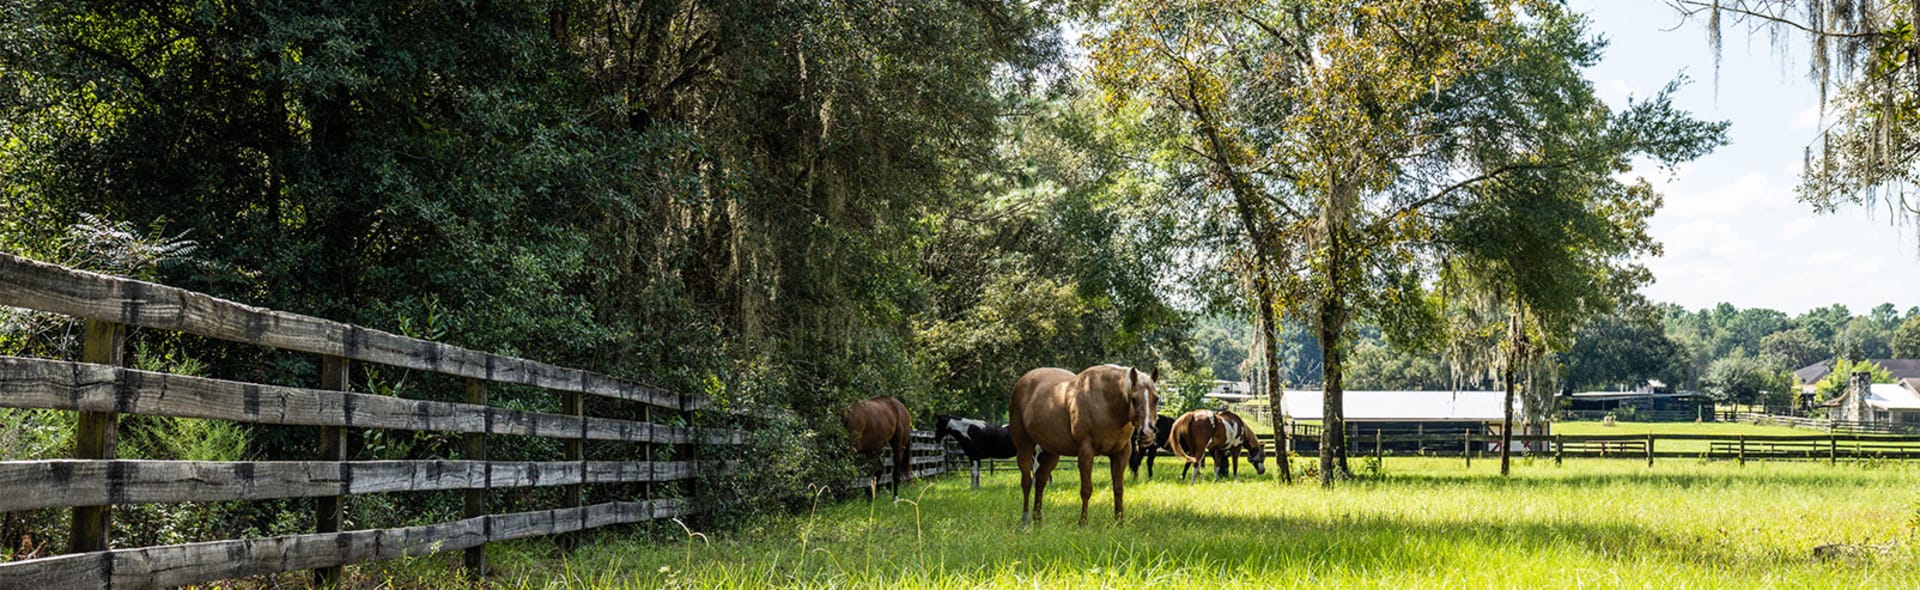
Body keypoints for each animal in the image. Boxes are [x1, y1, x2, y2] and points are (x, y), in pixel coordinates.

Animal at [1013, 365, 1159, 526]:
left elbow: (1118, 489)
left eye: (1156, 399)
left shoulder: (1121, 454)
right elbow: (1086, 490)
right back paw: (1025, 521)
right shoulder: (1086, 452)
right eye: (1133, 399)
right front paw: (1083, 523)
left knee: (1040, 480)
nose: (1147, 433)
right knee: (1026, 481)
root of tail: (1023, 380)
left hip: (1051, 452)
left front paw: (1119, 523)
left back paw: (1038, 520)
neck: (1105, 402)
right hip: (1024, 445)